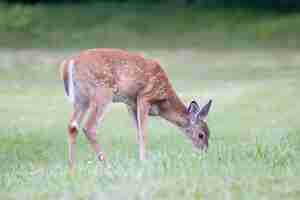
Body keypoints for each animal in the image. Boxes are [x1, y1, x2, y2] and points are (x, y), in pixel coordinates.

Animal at [59, 48, 212, 170]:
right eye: (201, 135)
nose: (205, 151)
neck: (164, 103)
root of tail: (69, 63)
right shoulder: (144, 97)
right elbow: (143, 132)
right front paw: (144, 161)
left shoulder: (130, 104)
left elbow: (137, 132)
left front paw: (142, 159)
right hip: (102, 92)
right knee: (89, 126)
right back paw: (106, 163)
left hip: (81, 99)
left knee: (72, 126)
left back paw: (71, 166)